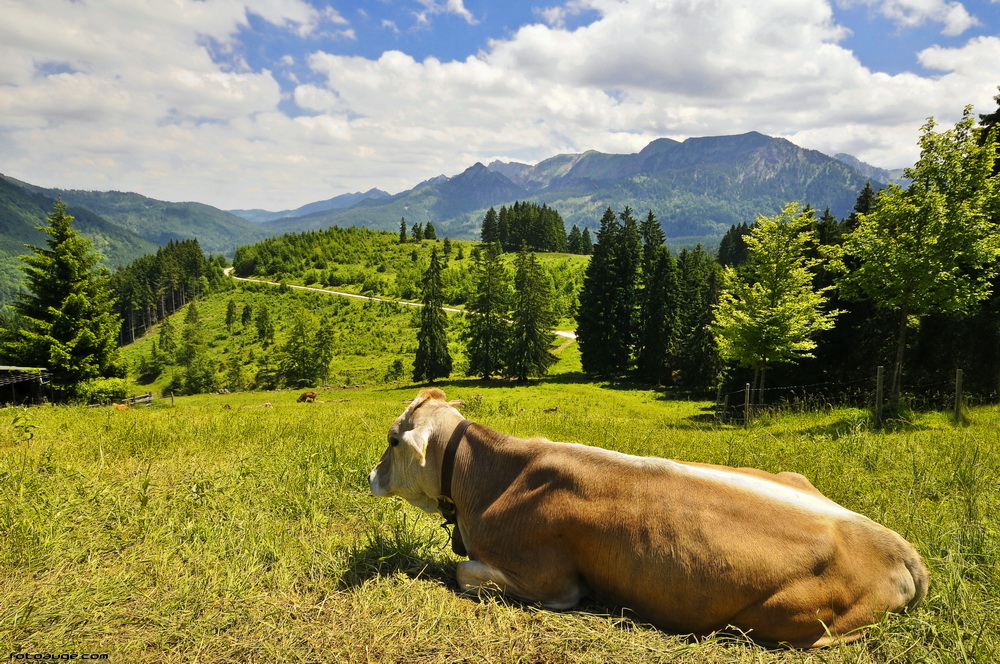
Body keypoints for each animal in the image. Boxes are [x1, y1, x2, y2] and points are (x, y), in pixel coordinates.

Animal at [372, 390, 932, 648]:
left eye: (393, 440)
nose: (369, 474)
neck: (489, 481)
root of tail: (897, 544)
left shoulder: (551, 581)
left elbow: (463, 572)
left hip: (787, 619)